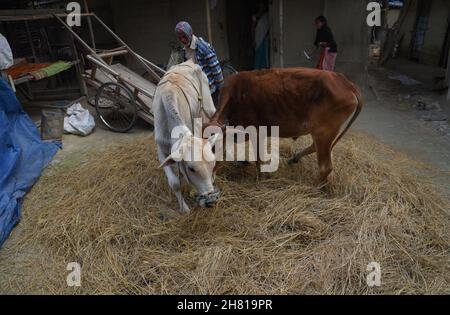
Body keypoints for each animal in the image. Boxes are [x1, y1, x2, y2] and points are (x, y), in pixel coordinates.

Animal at [207, 66, 362, 185]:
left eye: (215, 149)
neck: (235, 98)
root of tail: (348, 84)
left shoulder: (256, 132)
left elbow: (258, 159)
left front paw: (260, 178)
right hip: (321, 133)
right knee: (315, 148)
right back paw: (294, 158)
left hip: (323, 132)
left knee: (325, 167)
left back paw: (316, 186)